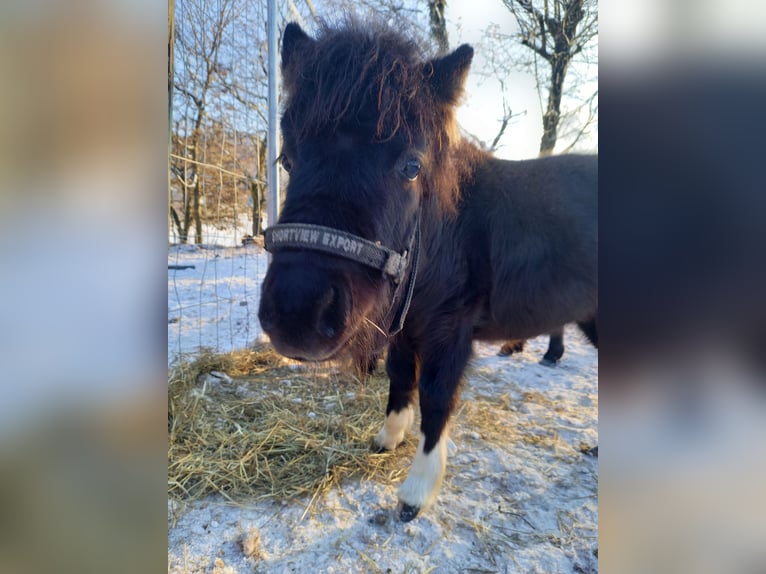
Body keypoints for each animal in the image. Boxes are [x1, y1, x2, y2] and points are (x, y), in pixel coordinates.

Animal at [258, 21, 598, 521]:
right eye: (288, 158)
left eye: (411, 165)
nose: (296, 314)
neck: (447, 236)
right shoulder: (405, 327)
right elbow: (401, 378)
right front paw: (389, 436)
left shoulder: (450, 331)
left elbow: (437, 398)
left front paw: (417, 490)